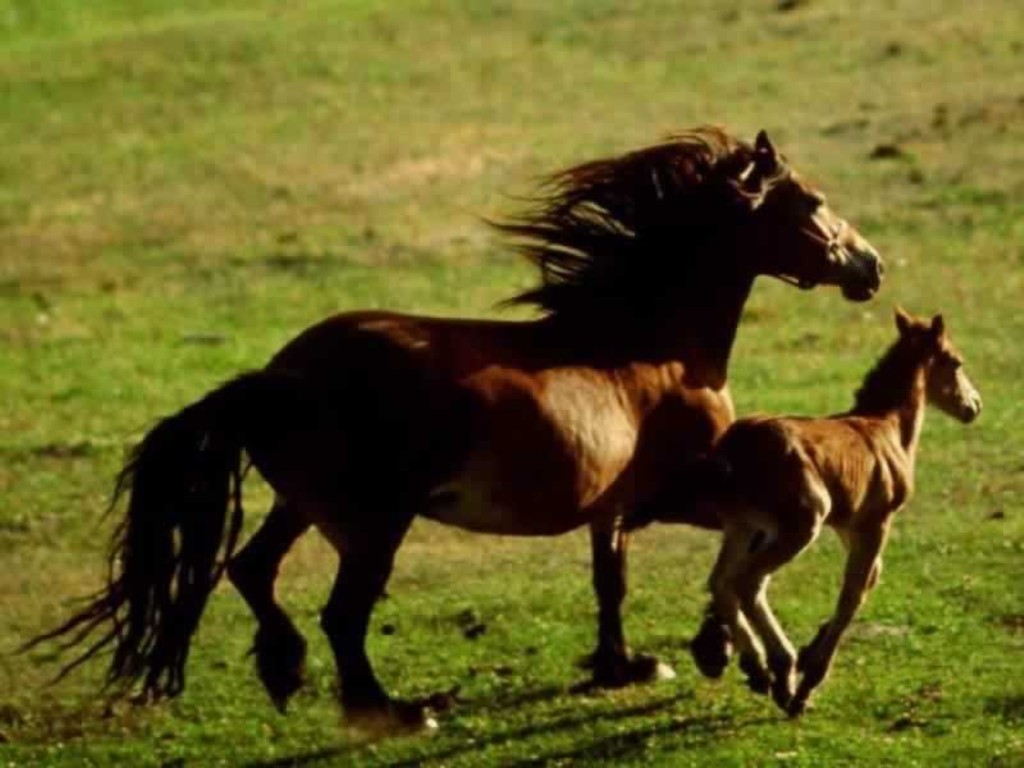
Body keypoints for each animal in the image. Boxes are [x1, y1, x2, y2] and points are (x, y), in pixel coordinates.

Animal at [32, 126, 880, 733]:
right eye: (811, 202)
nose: (870, 266)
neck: (647, 345)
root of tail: (274, 377)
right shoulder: (678, 490)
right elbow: (725, 558)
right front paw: (729, 657)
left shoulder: (612, 505)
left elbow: (611, 579)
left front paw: (626, 665)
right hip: (374, 523)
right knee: (341, 615)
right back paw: (396, 710)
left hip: (304, 506)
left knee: (251, 570)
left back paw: (285, 670)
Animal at [679, 309, 974, 720]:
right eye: (956, 362)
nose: (973, 406)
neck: (886, 428)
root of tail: (733, 452)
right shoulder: (876, 521)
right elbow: (853, 592)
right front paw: (809, 680)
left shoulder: (850, 525)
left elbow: (871, 577)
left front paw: (810, 651)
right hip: (802, 522)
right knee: (749, 580)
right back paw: (782, 673)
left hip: (743, 524)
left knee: (722, 580)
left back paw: (759, 668)